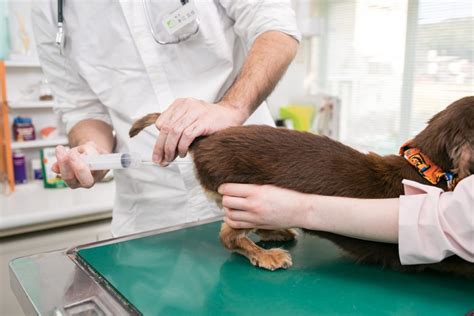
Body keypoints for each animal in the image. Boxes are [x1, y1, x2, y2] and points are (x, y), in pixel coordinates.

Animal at [130, 96, 474, 276]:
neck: (425, 168)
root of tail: (206, 140)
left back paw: (276, 232)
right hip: (241, 191)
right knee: (229, 237)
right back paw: (265, 254)